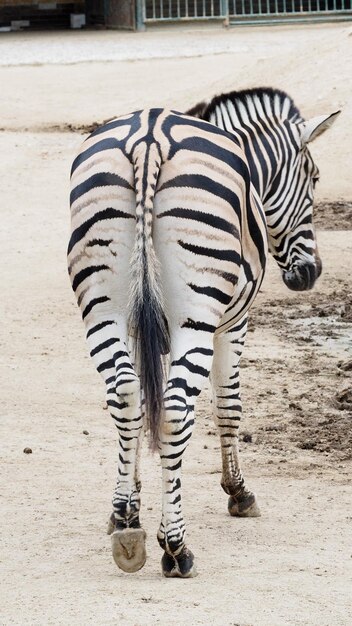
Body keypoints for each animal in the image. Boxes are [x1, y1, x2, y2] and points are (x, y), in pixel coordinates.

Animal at [68, 100, 338, 576]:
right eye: (314, 177)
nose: (310, 273)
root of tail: (150, 135)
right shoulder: (233, 322)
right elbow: (227, 406)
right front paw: (238, 492)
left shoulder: (141, 327)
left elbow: (142, 404)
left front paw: (129, 508)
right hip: (197, 316)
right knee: (176, 411)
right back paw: (176, 547)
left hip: (103, 311)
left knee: (124, 392)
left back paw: (126, 532)